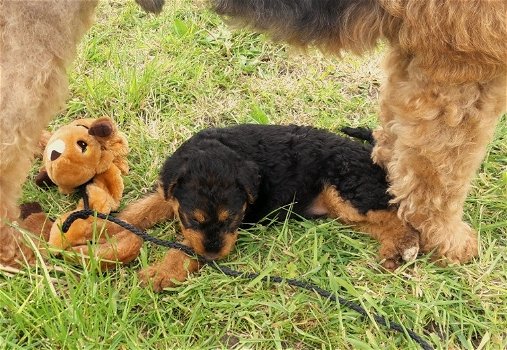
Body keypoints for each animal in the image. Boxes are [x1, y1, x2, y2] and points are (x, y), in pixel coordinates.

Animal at [117, 124, 418, 292]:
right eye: (192, 218)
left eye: (232, 219)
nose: (213, 256)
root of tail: (373, 155)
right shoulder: (169, 191)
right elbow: (141, 209)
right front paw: (109, 226)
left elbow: (184, 246)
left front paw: (161, 273)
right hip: (342, 206)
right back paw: (392, 251)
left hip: (347, 191)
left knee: (400, 218)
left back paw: (402, 247)